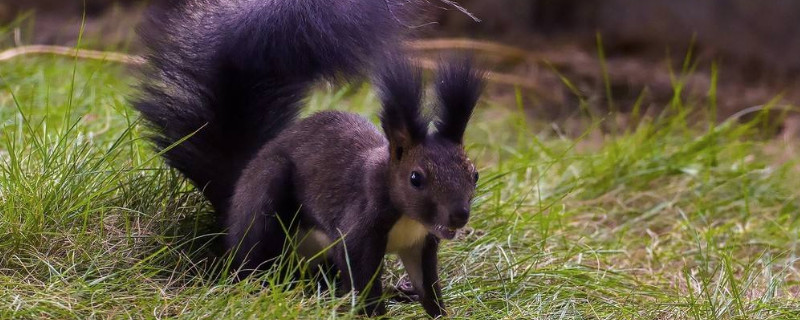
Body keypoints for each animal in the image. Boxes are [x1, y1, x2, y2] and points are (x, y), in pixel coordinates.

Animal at [134, 0, 484, 316]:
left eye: (475, 174)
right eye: (416, 178)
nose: (459, 216)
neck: (406, 217)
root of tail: (234, 198)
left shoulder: (421, 242)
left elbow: (429, 288)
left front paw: (439, 312)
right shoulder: (358, 231)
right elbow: (363, 282)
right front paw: (374, 312)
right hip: (266, 197)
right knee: (250, 259)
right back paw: (260, 282)